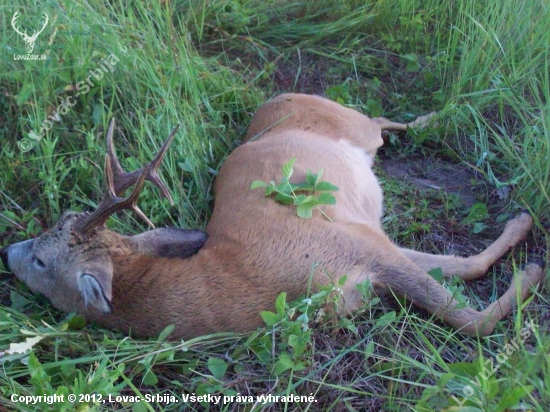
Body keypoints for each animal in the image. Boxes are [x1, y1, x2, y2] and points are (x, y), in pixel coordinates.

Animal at [0, 95, 544, 340]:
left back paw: (448, 113)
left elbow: (472, 318)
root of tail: (276, 97)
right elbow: (463, 273)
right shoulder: (369, 244)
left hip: (352, 123)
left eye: (45, 260)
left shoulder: (360, 245)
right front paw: (525, 238)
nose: (8, 251)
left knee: (384, 120)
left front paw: (532, 263)